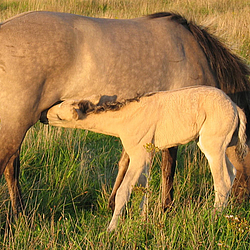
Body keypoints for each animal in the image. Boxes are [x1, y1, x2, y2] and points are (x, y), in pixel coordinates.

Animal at [0, 10, 250, 217]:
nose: (239, 206)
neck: (196, 53)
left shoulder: (137, 124)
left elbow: (125, 162)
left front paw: (113, 203)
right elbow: (168, 168)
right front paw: (166, 207)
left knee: (12, 167)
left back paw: (20, 214)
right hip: (15, 125)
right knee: (9, 165)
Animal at [43, 86, 248, 232]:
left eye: (59, 116)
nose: (43, 115)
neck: (123, 118)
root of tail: (236, 108)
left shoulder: (138, 155)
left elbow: (124, 190)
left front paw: (111, 229)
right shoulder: (147, 155)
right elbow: (144, 187)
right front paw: (143, 221)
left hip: (212, 144)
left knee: (222, 181)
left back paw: (214, 218)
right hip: (222, 144)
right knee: (232, 172)